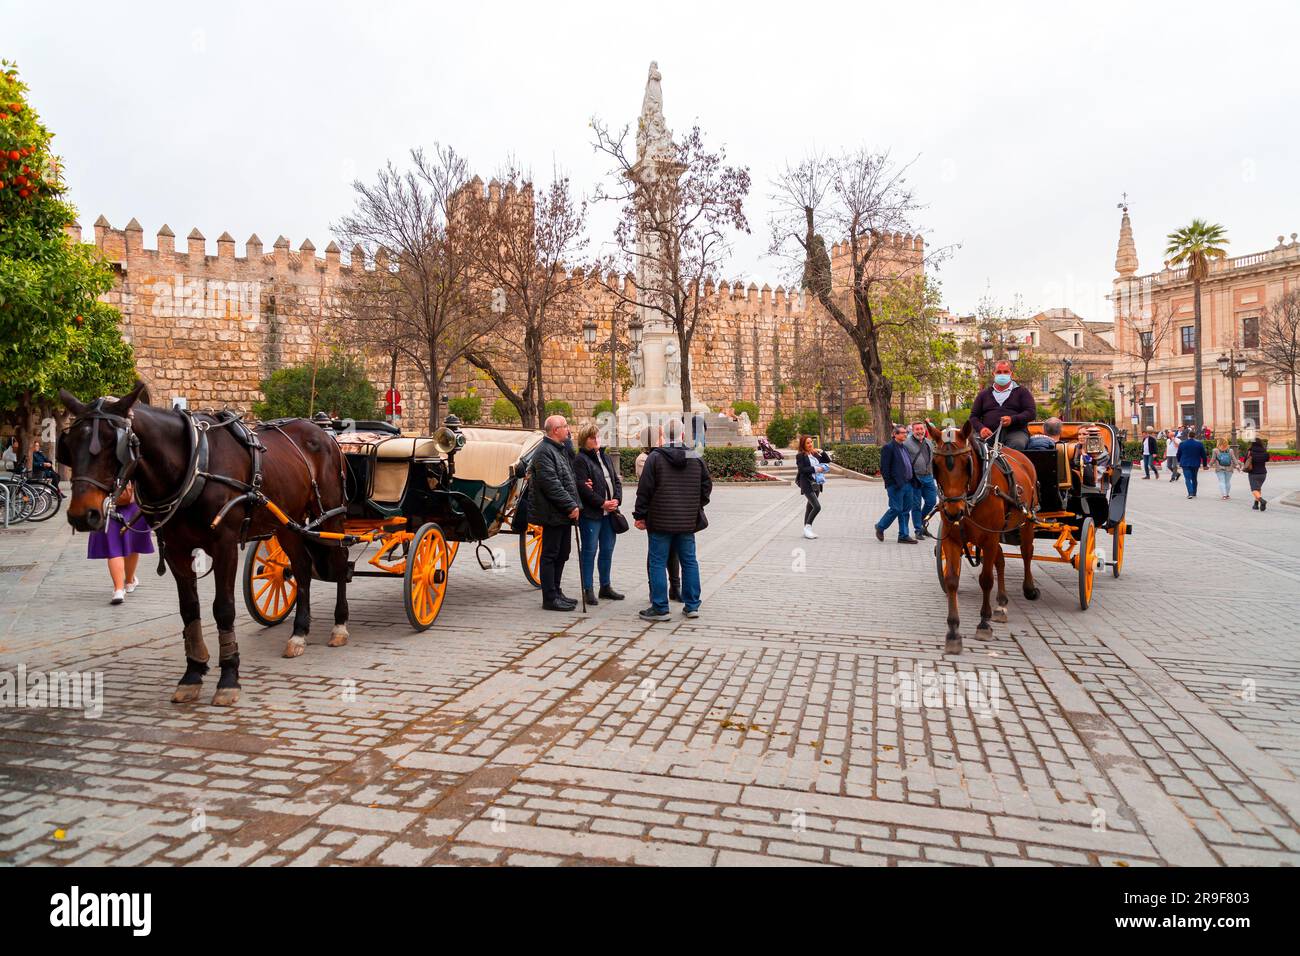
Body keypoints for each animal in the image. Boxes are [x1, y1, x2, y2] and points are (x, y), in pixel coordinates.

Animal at [57, 379, 351, 702]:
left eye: (113, 444)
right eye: (68, 445)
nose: (82, 515)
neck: (195, 464)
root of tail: (322, 431)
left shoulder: (225, 545)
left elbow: (223, 608)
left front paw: (229, 677)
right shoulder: (175, 550)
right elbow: (189, 610)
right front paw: (193, 673)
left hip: (331, 515)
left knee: (339, 565)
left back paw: (339, 625)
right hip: (288, 523)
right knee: (302, 568)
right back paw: (299, 633)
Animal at [930, 421, 1040, 658]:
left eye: (966, 463)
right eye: (936, 464)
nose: (953, 512)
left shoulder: (989, 538)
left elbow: (986, 579)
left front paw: (983, 623)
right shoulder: (952, 539)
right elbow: (952, 581)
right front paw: (953, 632)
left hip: (1027, 521)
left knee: (1027, 552)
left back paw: (1028, 588)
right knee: (1001, 561)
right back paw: (1001, 604)